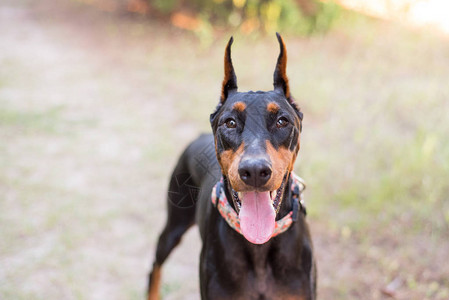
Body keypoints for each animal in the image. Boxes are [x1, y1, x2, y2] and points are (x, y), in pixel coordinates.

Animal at [147, 33, 316, 300]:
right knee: (155, 265)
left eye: (282, 121)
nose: (255, 171)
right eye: (230, 122)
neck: (259, 248)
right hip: (175, 222)